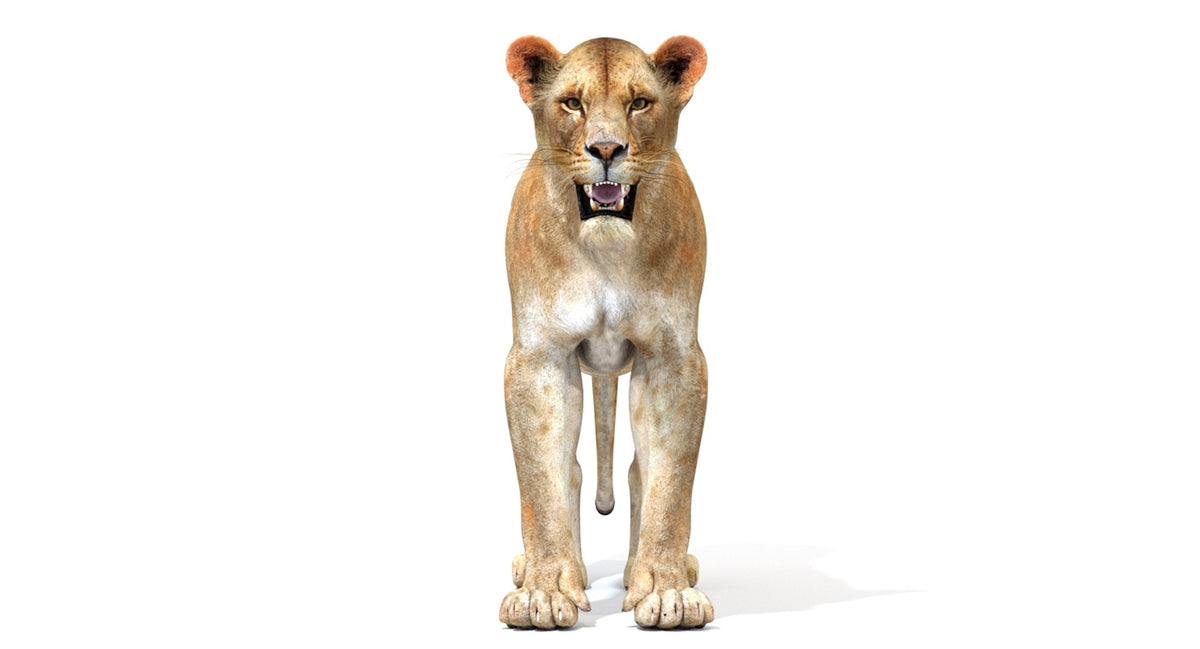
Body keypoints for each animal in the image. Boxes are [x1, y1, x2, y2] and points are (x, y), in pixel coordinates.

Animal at [498, 35, 713, 630]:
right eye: (573, 103)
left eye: (639, 103)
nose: (607, 148)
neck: (607, 248)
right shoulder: (539, 357)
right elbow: (544, 480)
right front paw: (546, 592)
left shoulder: (673, 357)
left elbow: (667, 483)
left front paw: (664, 590)